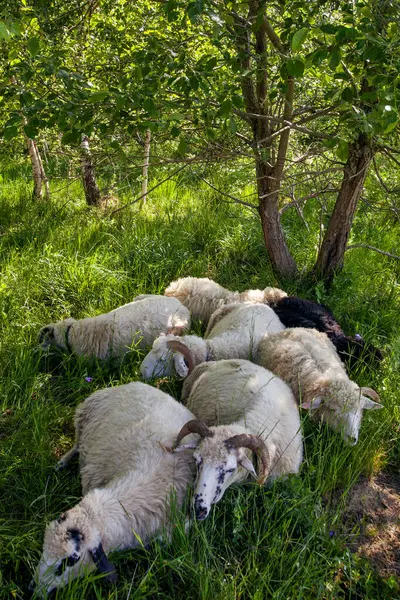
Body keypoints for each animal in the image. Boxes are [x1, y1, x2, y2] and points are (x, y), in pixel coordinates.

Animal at [30, 382, 196, 596]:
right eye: (44, 548)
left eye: (68, 562)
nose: (31, 589)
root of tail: (133, 384)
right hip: (80, 420)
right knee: (76, 446)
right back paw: (62, 462)